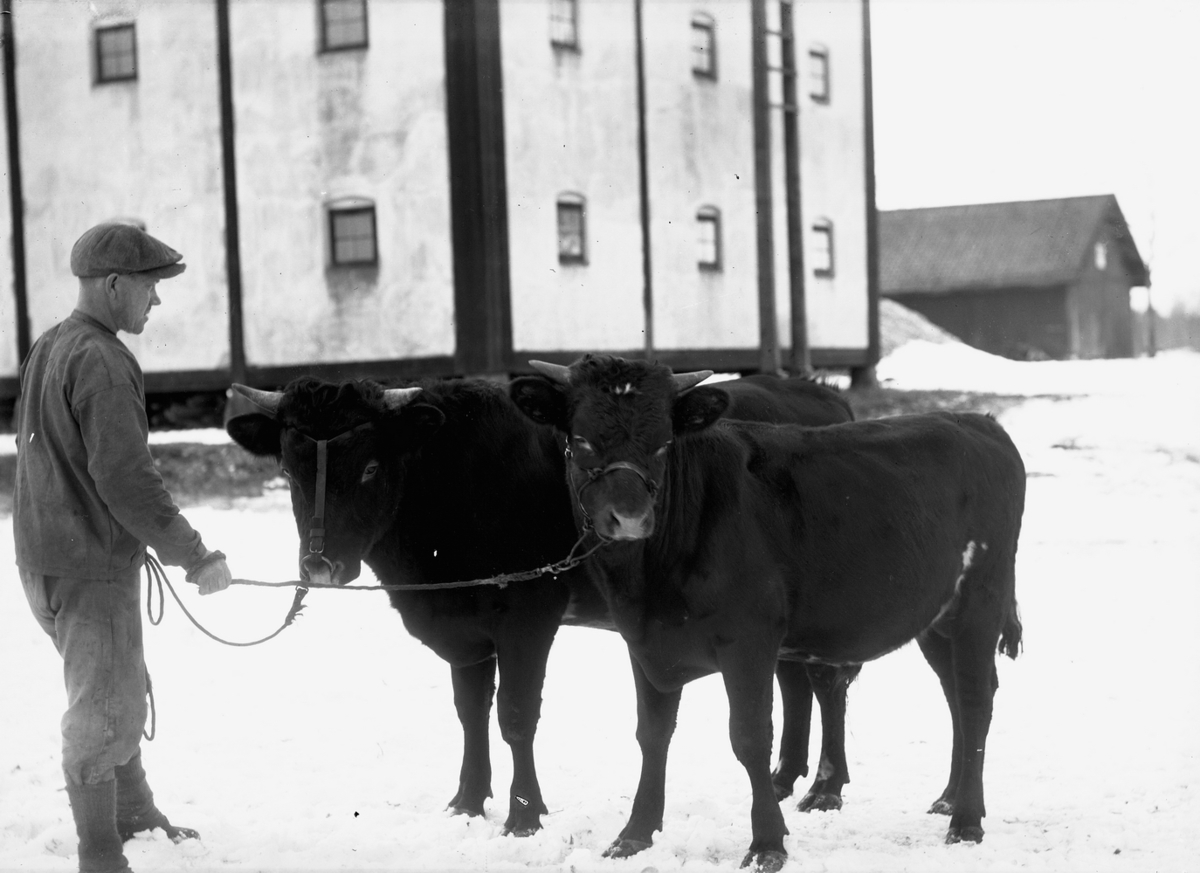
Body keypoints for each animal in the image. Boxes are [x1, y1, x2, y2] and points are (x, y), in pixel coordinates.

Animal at [224, 371, 855, 837]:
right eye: (288, 471)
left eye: (371, 466)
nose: (319, 566)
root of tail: (820, 391)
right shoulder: (465, 626)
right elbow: (470, 712)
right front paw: (467, 801)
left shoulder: (527, 616)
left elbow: (516, 715)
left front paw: (524, 815)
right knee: (795, 679)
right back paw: (784, 777)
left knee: (828, 682)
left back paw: (825, 787)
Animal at [509, 354, 1025, 872]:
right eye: (580, 439)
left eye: (664, 442)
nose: (630, 517)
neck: (647, 582)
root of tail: (980, 423)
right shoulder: (644, 641)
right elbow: (651, 734)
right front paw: (634, 834)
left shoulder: (748, 639)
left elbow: (750, 736)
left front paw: (766, 843)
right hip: (936, 619)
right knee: (955, 694)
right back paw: (948, 797)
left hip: (981, 598)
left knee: (976, 699)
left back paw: (966, 820)